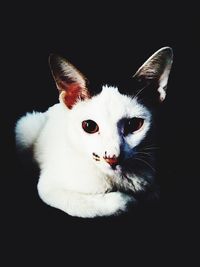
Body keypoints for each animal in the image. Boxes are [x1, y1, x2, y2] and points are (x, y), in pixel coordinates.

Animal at [15, 47, 173, 218]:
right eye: (89, 126)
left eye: (133, 124)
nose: (112, 158)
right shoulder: (48, 186)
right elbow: (103, 203)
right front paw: (126, 200)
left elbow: (154, 193)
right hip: (26, 126)